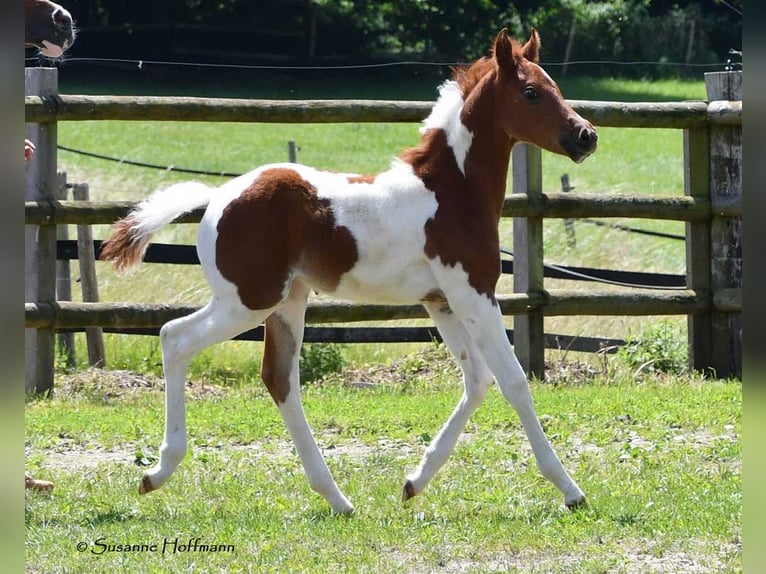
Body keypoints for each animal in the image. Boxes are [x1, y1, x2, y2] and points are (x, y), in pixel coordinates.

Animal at [100, 29, 597, 514]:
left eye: (556, 86)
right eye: (531, 92)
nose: (586, 136)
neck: (451, 193)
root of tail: (216, 197)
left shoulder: (441, 301)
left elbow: (477, 381)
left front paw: (414, 481)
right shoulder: (473, 291)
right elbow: (514, 381)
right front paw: (570, 490)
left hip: (287, 301)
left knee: (279, 378)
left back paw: (336, 498)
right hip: (247, 300)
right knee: (175, 338)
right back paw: (159, 471)